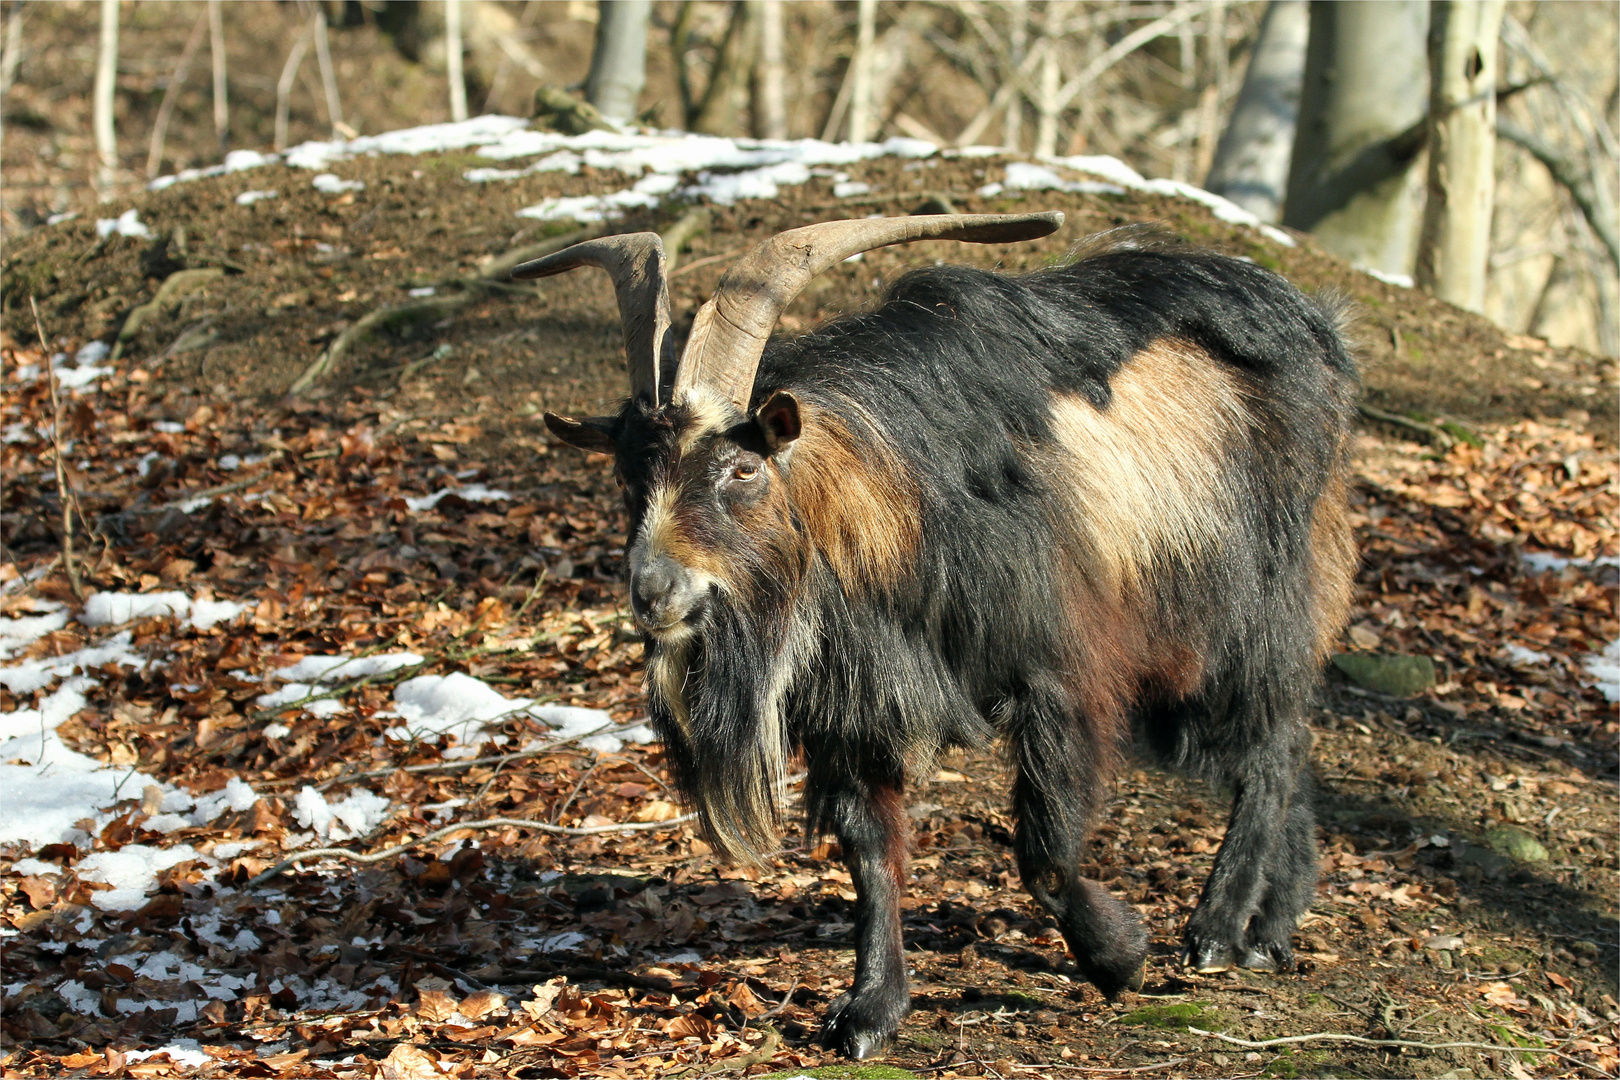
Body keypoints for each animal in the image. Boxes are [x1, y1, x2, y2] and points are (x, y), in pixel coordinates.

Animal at [515, 215, 1354, 1062]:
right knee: (1285, 747)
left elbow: (1046, 853)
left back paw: (1218, 927)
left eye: (742, 469)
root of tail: (1316, 329)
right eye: (628, 475)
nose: (654, 589)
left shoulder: (1061, 676)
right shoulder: (853, 713)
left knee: (1274, 745)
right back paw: (1270, 925)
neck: (895, 506)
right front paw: (870, 1011)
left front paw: (1120, 957)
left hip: (1246, 612)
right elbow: (870, 855)